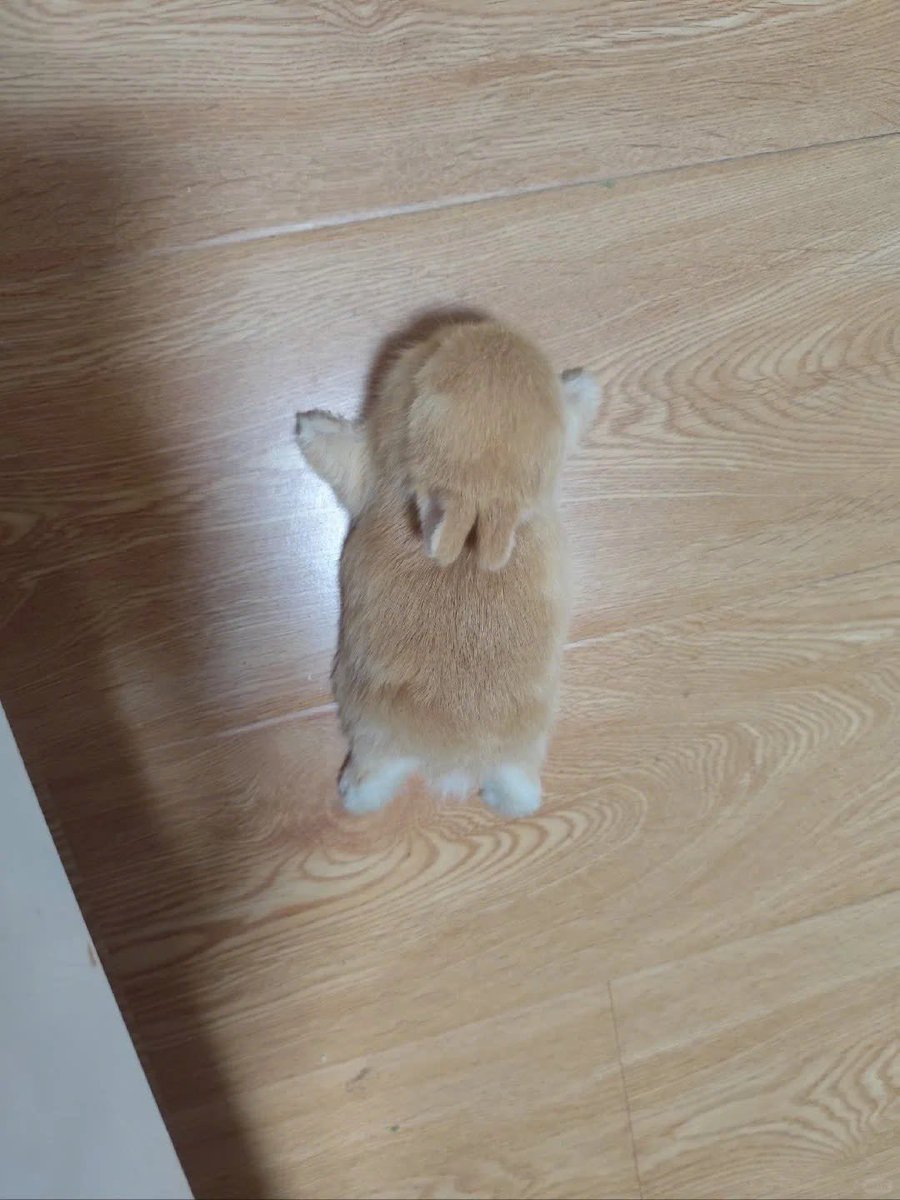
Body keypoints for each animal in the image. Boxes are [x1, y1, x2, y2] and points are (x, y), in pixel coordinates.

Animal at [296, 316, 599, 817]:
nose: (490, 326)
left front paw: (307, 425)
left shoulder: (369, 466)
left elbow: (339, 451)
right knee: (518, 791)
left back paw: (350, 794)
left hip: (377, 743)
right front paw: (585, 386)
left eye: (430, 357)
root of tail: (454, 760)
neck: (479, 485)